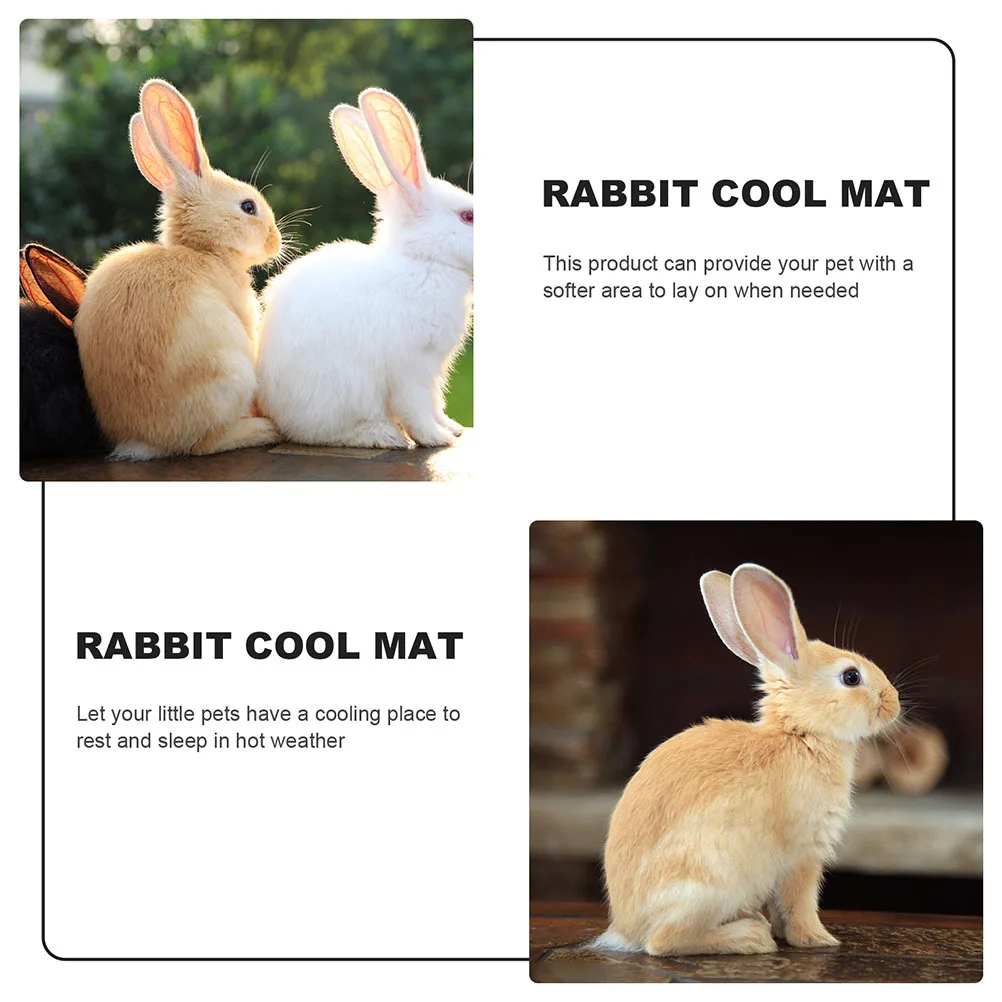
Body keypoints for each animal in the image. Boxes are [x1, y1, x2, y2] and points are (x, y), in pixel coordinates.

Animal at [73, 79, 283, 461]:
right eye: (248, 207)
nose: (275, 241)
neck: (204, 251)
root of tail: (146, 441)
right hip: (232, 375)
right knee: (204, 444)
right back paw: (261, 429)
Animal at [255, 87, 473, 449]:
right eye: (468, 216)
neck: (423, 261)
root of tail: (274, 412)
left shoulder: (433, 371)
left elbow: (434, 404)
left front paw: (451, 428)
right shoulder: (410, 369)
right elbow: (416, 408)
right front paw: (436, 439)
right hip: (343, 393)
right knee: (323, 433)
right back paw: (383, 434)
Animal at [594, 563, 900, 957]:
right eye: (851, 676)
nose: (893, 702)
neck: (800, 734)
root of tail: (626, 929)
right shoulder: (804, 855)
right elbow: (800, 903)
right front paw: (818, 939)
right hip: (709, 883)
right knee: (664, 941)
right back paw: (751, 936)